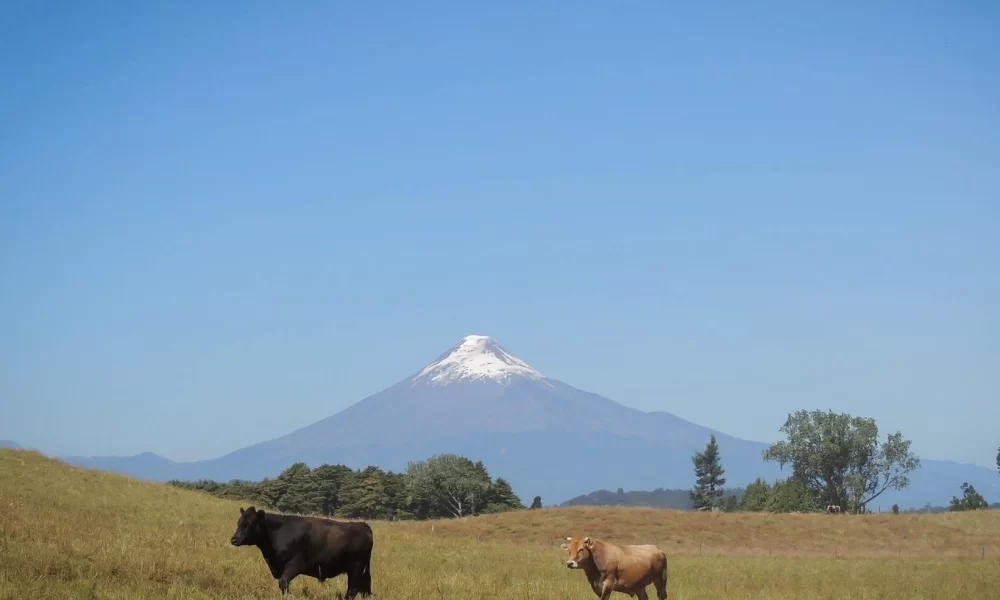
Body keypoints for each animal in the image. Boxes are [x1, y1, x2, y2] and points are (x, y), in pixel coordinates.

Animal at [230, 506, 376, 596]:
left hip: (356, 568)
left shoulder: (296, 563)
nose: (233, 539)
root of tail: (363, 525)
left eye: (249, 524)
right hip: (362, 571)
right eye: (238, 523)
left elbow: (283, 582)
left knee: (353, 590)